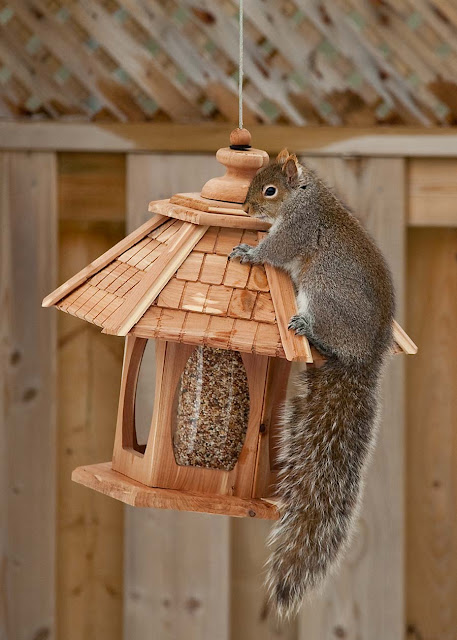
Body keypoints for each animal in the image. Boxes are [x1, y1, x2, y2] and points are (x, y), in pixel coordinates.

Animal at [230, 148, 394, 616]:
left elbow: (276, 248)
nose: (246, 208)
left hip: (322, 289)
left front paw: (249, 251)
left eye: (269, 189)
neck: (305, 196)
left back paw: (307, 328)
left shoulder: (299, 231)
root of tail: (366, 357)